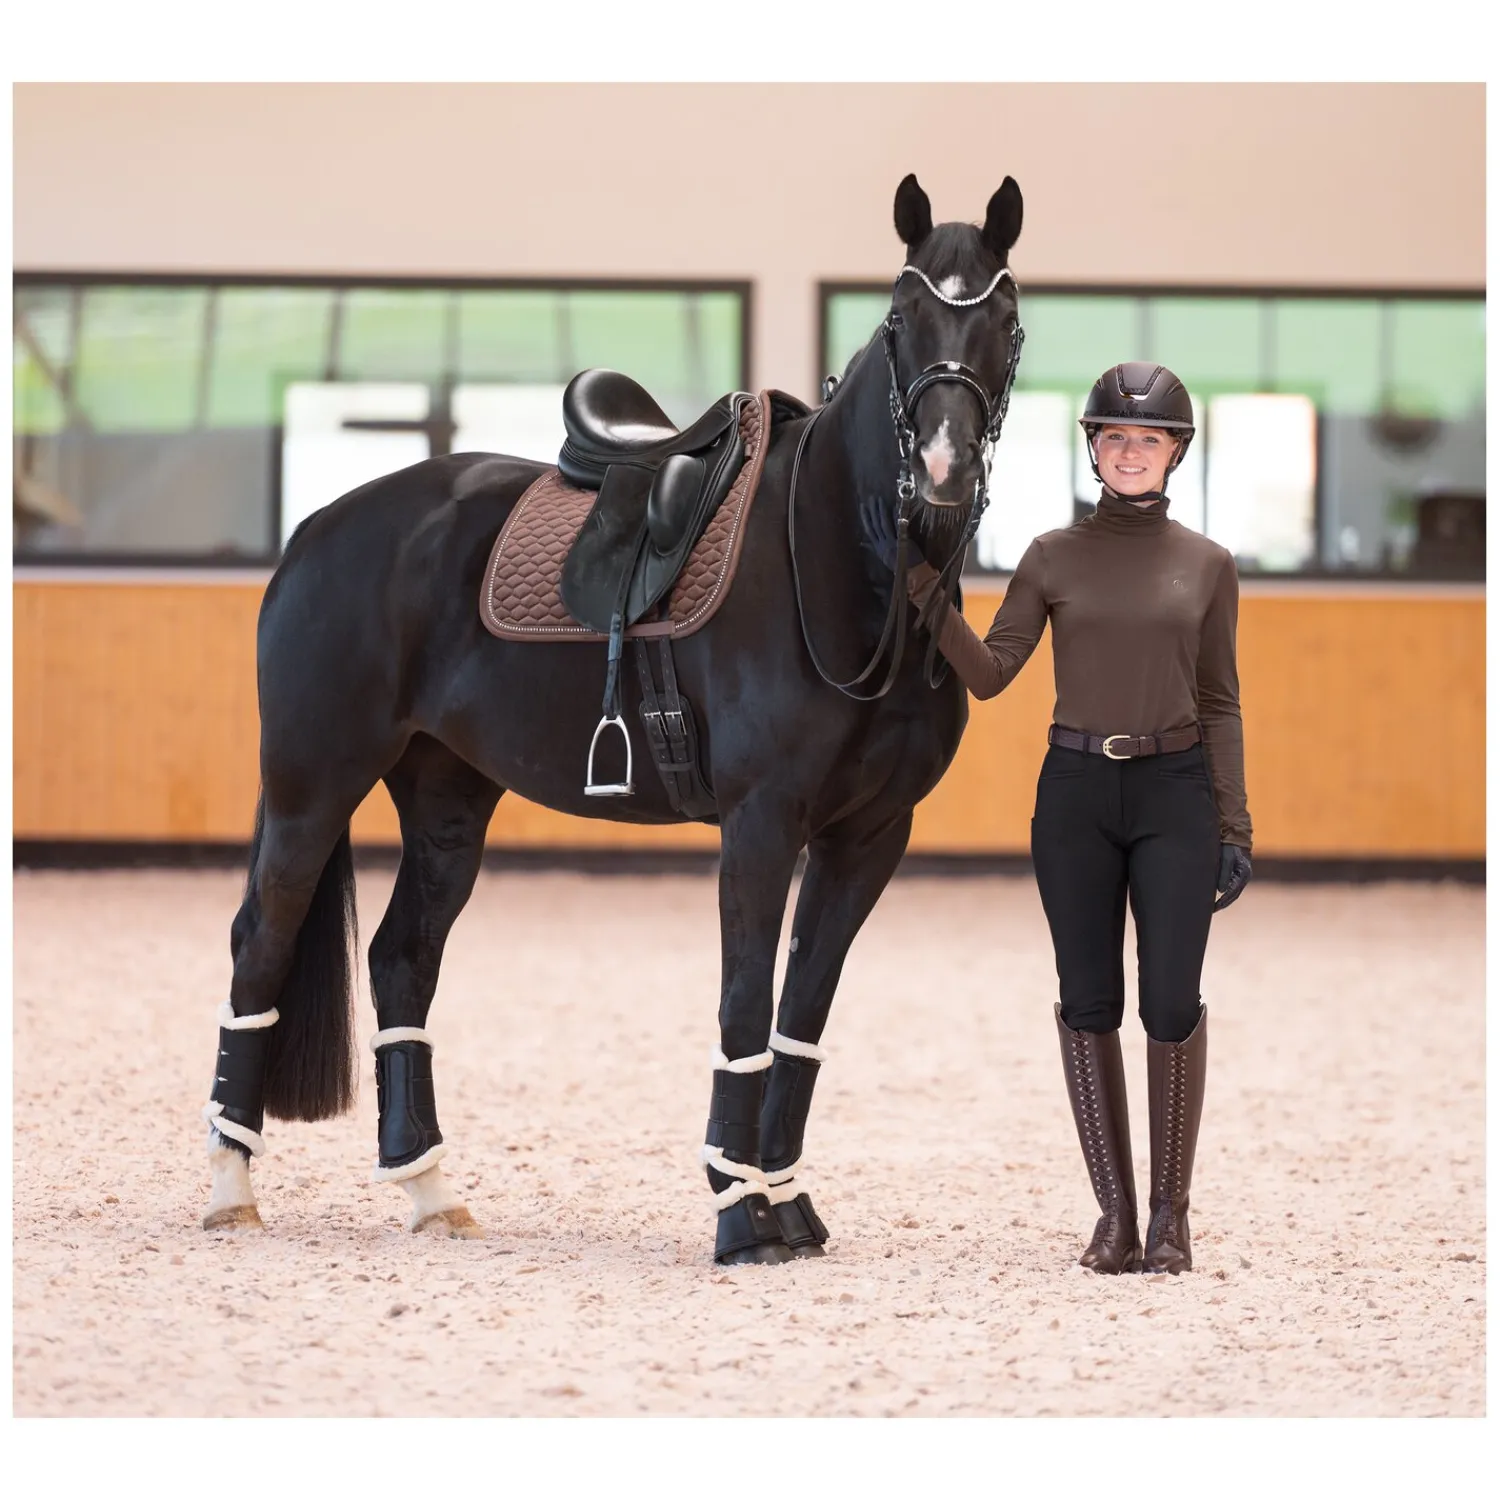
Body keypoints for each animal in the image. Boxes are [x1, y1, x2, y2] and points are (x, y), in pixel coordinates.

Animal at [200, 172, 1025, 1266]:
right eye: (901, 319)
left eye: (1006, 323)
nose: (941, 467)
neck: (839, 562)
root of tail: (321, 525)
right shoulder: (763, 823)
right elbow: (744, 1003)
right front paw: (740, 1213)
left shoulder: (870, 836)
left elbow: (801, 1015)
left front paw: (787, 1201)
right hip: (313, 786)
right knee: (261, 944)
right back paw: (229, 1186)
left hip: (445, 797)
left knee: (401, 961)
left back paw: (428, 1189)